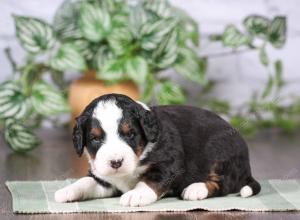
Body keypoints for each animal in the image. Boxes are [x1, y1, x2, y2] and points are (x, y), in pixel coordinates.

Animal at [54, 93, 260, 207]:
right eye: (95, 138)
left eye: (130, 134)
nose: (116, 162)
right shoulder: (103, 178)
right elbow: (85, 182)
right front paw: (67, 190)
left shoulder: (170, 164)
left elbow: (150, 180)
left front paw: (135, 194)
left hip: (220, 152)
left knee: (223, 184)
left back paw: (195, 189)